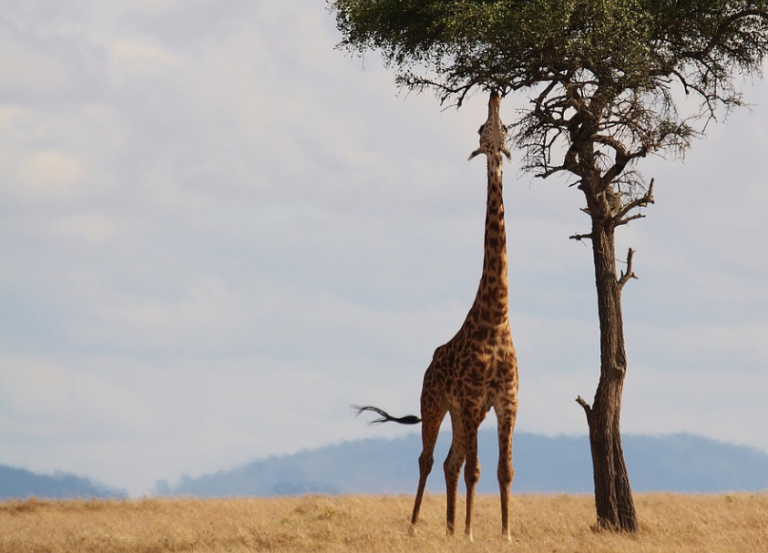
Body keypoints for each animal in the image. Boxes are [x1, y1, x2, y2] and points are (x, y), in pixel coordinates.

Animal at [356, 90, 520, 540]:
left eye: (504, 128)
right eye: (483, 128)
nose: (495, 94)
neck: (496, 318)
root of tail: (429, 364)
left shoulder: (505, 401)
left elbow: (504, 470)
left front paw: (504, 534)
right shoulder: (472, 399)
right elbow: (477, 470)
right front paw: (470, 533)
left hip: (464, 414)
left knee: (451, 462)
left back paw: (447, 528)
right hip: (435, 402)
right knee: (429, 460)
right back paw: (417, 527)